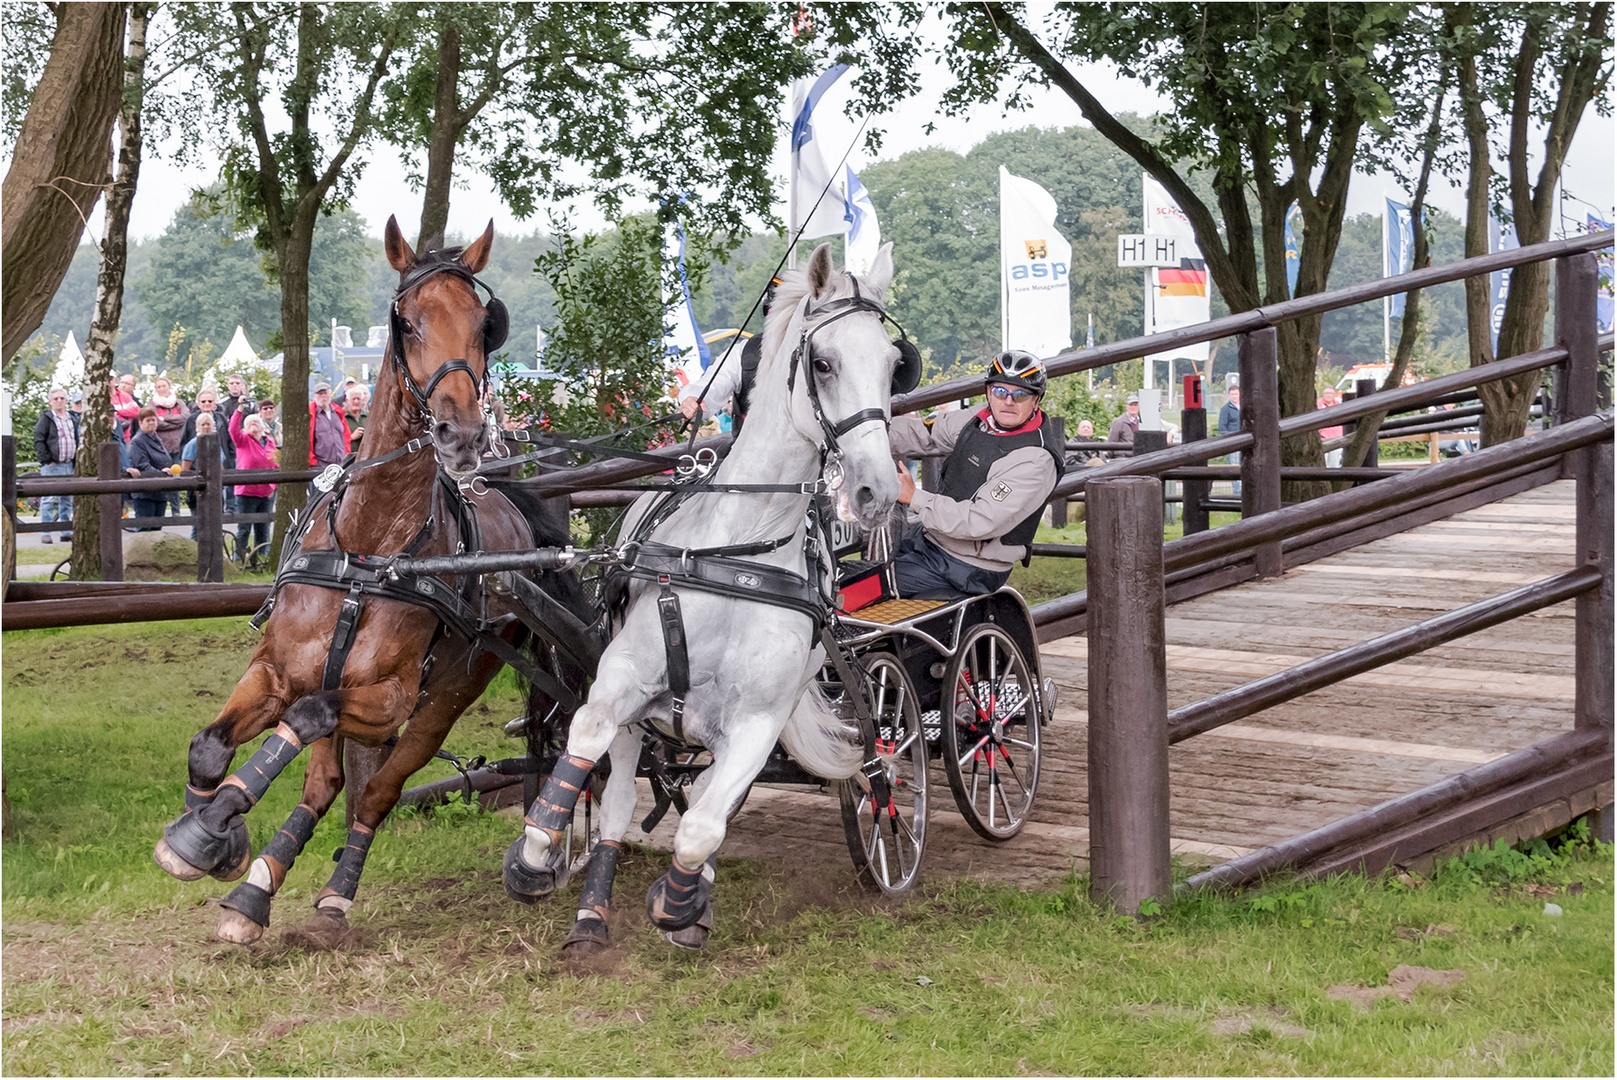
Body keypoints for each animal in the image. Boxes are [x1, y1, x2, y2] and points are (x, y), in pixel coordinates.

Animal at [152, 219, 588, 944]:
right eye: (405, 322)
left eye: (484, 324)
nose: (462, 434)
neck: (367, 548)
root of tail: (514, 504)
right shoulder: (276, 667)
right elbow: (211, 747)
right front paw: (208, 835)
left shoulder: (386, 696)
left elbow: (312, 725)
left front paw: (219, 824)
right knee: (325, 782)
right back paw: (256, 887)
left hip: (445, 697)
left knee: (376, 789)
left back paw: (333, 892)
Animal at [501, 242, 905, 944]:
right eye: (823, 363)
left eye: (891, 365)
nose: (876, 491)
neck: (740, 556)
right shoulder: (623, 678)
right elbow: (586, 736)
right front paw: (534, 853)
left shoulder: (757, 723)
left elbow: (702, 827)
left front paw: (679, 903)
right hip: (642, 719)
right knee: (617, 800)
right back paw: (591, 912)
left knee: (711, 800)